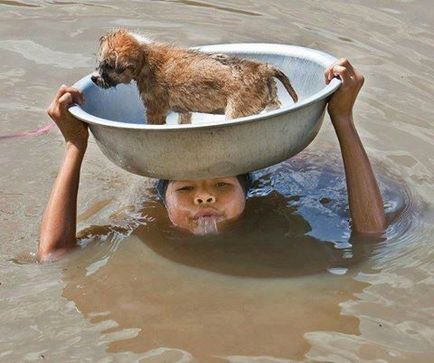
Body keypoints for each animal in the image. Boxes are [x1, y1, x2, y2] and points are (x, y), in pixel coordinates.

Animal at [90, 29, 296, 125]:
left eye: (107, 66)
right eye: (100, 63)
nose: (93, 78)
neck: (145, 57)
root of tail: (262, 68)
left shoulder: (154, 110)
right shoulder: (184, 110)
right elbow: (184, 119)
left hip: (236, 112)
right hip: (270, 100)